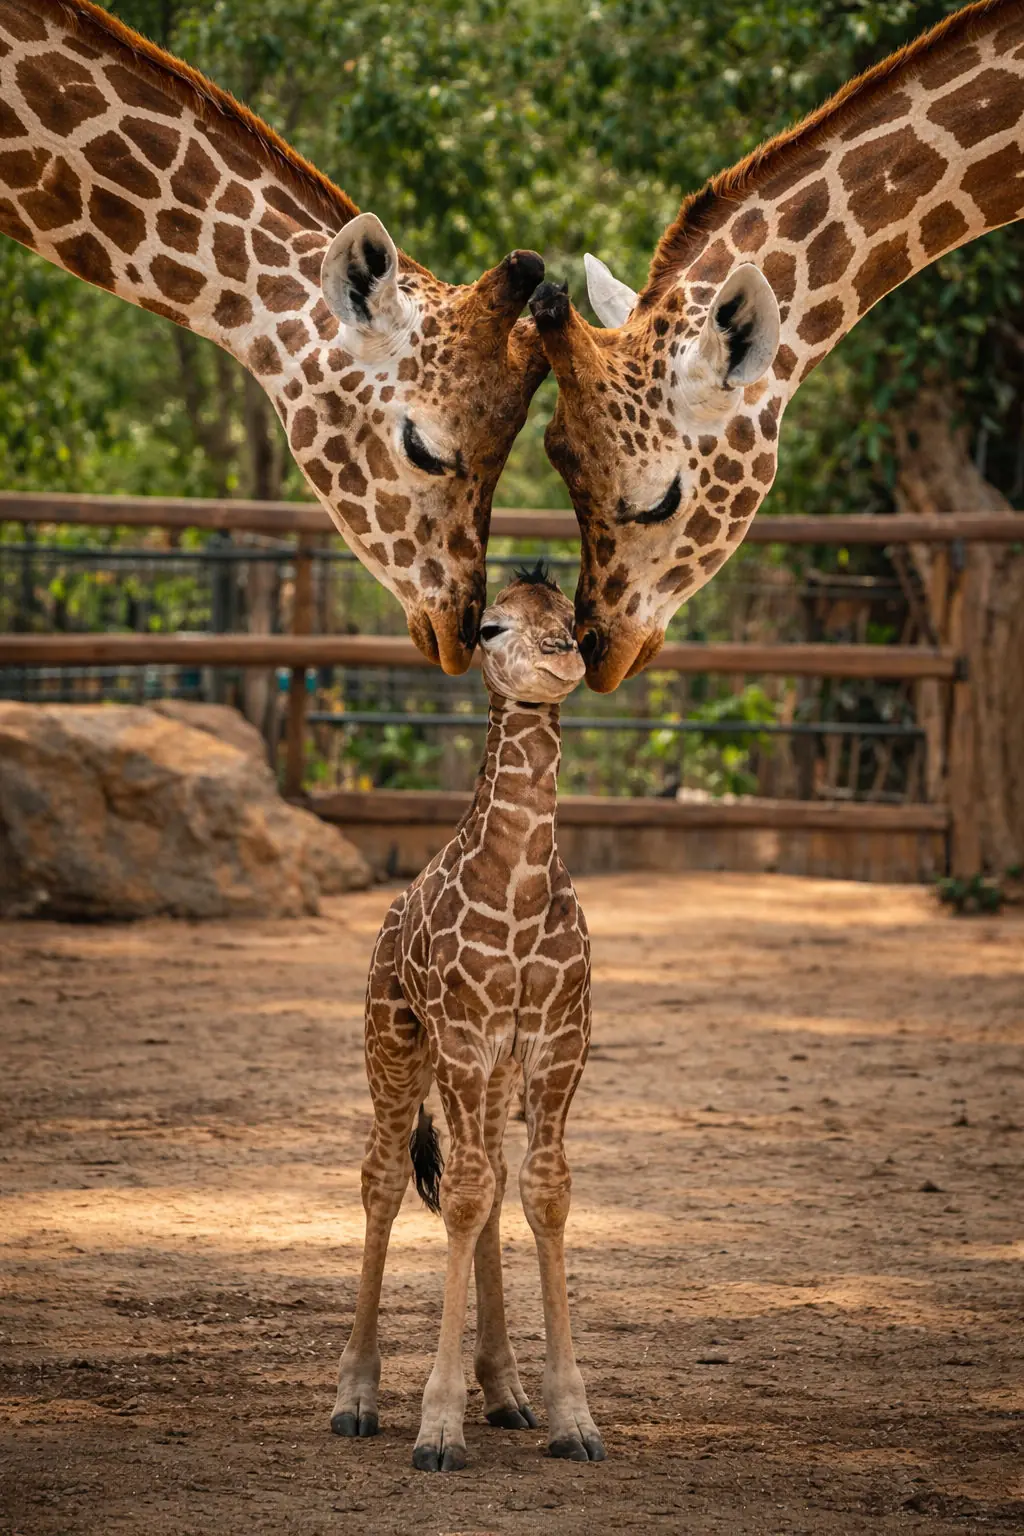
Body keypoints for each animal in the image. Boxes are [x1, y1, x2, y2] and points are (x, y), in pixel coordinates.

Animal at [333, 565, 605, 1472]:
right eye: (490, 626)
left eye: (575, 621)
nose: (563, 657)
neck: (516, 886)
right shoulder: (461, 1037)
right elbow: (456, 1197)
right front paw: (437, 1429)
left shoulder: (555, 1042)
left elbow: (540, 1193)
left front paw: (571, 1418)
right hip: (393, 1043)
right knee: (385, 1178)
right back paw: (355, 1399)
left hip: (491, 1078)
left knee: (485, 1181)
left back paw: (508, 1393)